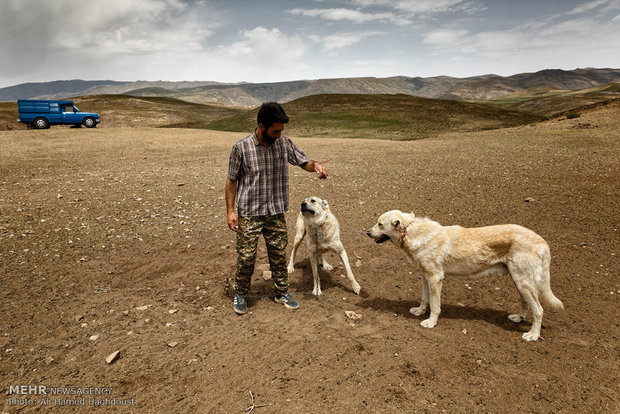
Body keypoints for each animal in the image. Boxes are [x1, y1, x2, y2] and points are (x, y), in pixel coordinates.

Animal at [366, 212, 564, 342]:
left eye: (380, 224)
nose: (367, 232)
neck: (411, 232)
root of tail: (542, 241)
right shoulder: (425, 276)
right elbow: (424, 298)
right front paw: (420, 311)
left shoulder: (435, 278)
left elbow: (435, 305)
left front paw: (430, 322)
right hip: (519, 280)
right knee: (526, 303)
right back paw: (519, 318)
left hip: (523, 281)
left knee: (539, 309)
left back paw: (533, 335)